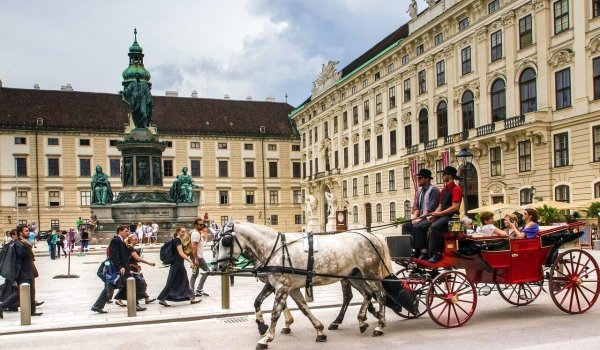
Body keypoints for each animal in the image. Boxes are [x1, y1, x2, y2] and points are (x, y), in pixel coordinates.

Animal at [213, 220, 392, 348]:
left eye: (225, 241)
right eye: (215, 245)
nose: (219, 266)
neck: (275, 249)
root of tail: (372, 236)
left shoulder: (282, 286)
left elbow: (275, 312)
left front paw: (267, 338)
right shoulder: (287, 287)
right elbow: (301, 307)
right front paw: (319, 331)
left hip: (370, 273)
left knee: (380, 295)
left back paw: (379, 325)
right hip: (354, 275)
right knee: (367, 293)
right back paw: (361, 320)